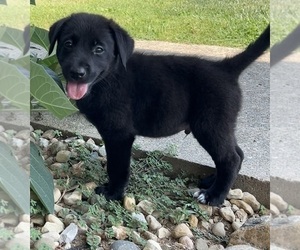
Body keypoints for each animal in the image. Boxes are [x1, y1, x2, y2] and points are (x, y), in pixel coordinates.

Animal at [49, 12, 270, 205]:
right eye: (68, 44)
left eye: (99, 49)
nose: (76, 73)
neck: (109, 77)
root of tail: (225, 68)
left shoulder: (119, 135)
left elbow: (117, 167)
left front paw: (113, 193)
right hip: (221, 125)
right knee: (237, 154)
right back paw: (212, 182)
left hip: (210, 125)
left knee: (230, 158)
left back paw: (213, 196)